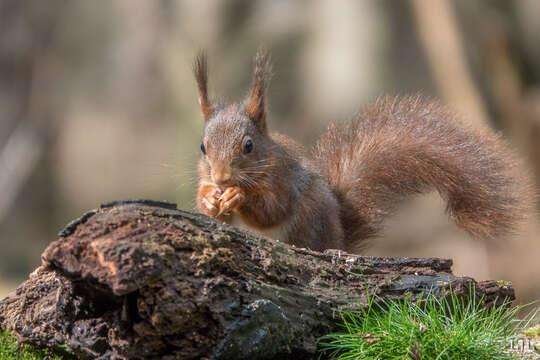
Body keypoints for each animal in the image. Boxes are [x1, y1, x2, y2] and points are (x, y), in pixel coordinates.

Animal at [193, 50, 532, 253]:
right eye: (203, 146)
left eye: (248, 146)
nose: (222, 178)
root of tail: (340, 241)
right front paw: (209, 200)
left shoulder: (283, 180)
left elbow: (271, 209)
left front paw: (238, 195)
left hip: (310, 215)